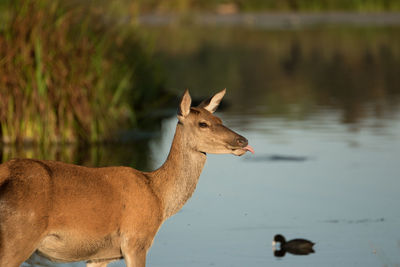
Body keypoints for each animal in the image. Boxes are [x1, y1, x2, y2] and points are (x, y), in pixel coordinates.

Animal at [0, 90, 255, 267]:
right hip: (18, 236)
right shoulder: (136, 240)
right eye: (203, 123)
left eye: (220, 120)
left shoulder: (100, 255)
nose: (242, 140)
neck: (159, 197)